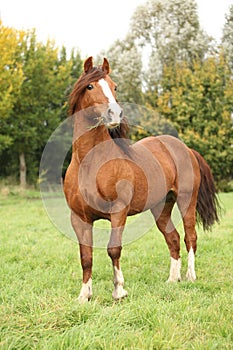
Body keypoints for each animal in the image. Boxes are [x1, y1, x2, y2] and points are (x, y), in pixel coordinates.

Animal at [63, 56, 218, 302]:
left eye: (115, 86)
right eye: (90, 86)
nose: (114, 115)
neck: (89, 162)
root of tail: (185, 148)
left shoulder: (118, 211)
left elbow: (113, 249)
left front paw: (119, 290)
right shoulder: (79, 218)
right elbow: (85, 257)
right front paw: (84, 296)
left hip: (187, 200)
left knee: (190, 237)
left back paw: (190, 276)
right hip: (161, 206)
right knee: (173, 238)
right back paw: (172, 280)